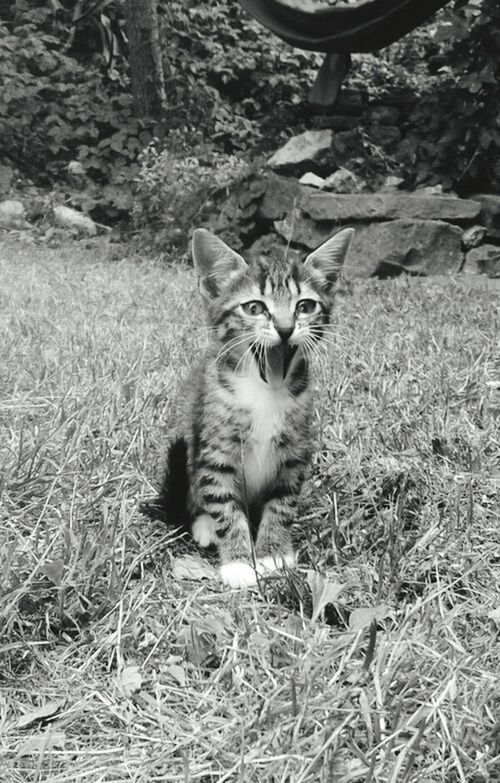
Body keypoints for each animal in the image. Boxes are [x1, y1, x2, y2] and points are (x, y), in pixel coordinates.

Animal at [162, 227, 354, 588]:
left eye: (305, 306)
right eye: (254, 308)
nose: (285, 328)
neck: (265, 392)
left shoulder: (294, 452)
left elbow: (282, 503)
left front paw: (272, 554)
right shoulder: (216, 451)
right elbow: (224, 504)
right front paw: (238, 562)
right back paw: (205, 525)